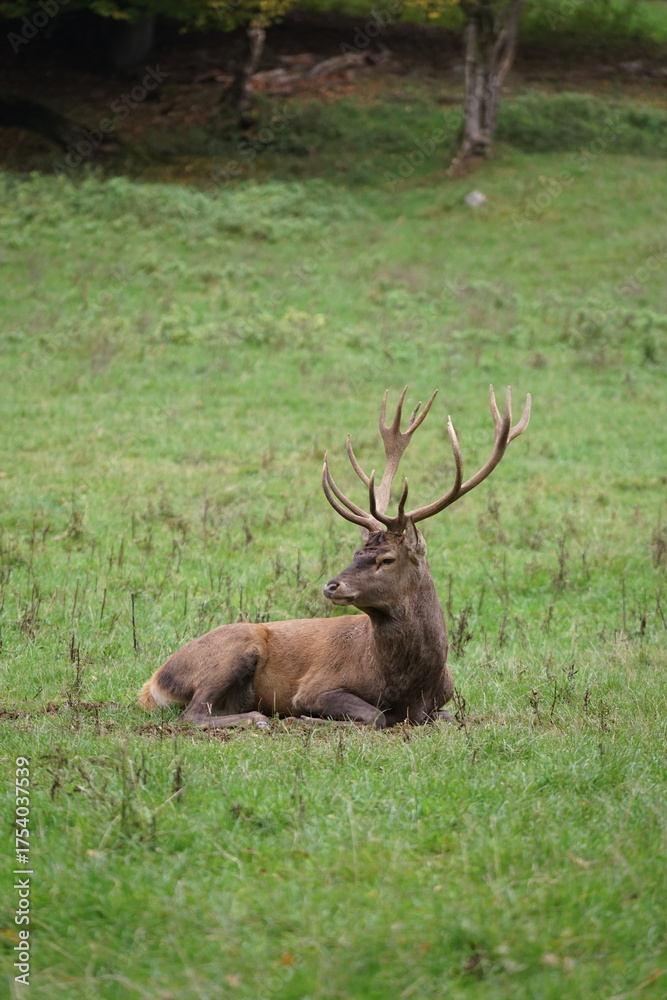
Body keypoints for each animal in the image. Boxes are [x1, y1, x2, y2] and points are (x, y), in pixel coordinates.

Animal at [138, 385, 531, 729]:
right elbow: (376, 716)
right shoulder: (316, 686)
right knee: (193, 713)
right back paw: (258, 719)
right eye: (356, 552)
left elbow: (445, 717)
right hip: (234, 649)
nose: (331, 586)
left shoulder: (441, 702)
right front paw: (307, 719)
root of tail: (153, 683)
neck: (409, 684)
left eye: (386, 559)